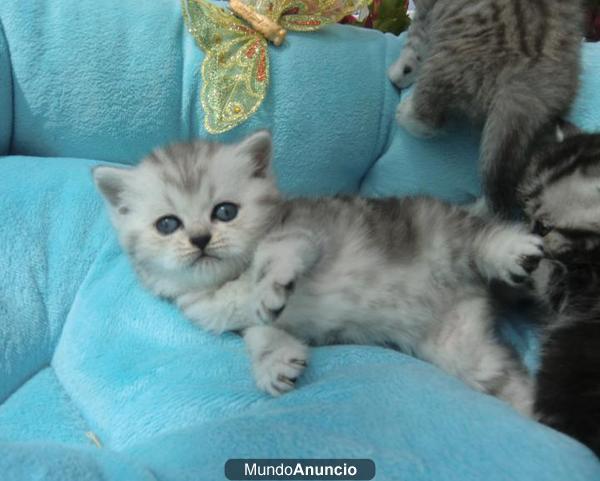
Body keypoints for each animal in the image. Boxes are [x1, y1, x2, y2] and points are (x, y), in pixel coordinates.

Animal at [92, 133, 544, 414]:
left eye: (225, 211)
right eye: (168, 224)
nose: (201, 239)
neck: (228, 281)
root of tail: (475, 290)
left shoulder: (308, 231)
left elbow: (275, 252)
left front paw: (268, 286)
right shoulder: (241, 321)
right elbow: (260, 332)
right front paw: (274, 363)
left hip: (438, 229)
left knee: (478, 235)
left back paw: (511, 250)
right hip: (463, 347)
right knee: (504, 377)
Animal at [392, 0, 584, 217]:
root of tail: (527, 82)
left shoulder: (427, 10)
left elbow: (414, 40)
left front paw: (399, 71)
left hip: (449, 60)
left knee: (430, 120)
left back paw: (406, 113)